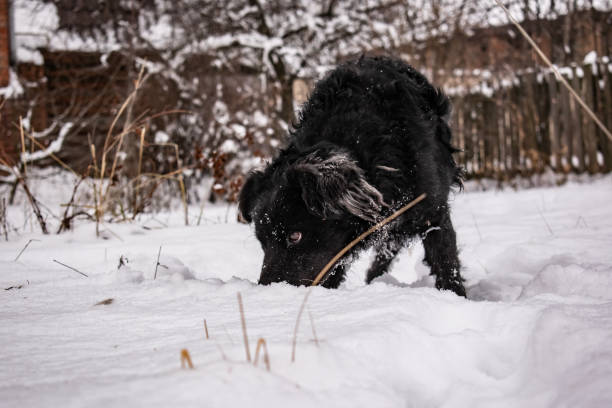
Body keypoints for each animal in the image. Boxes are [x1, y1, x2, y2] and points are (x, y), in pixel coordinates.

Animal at [238, 55, 464, 296]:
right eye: (262, 242)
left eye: (295, 236)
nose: (269, 292)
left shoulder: (434, 212)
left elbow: (447, 265)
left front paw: (455, 297)